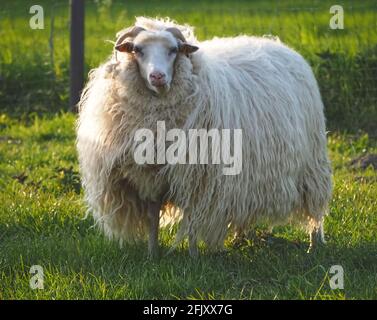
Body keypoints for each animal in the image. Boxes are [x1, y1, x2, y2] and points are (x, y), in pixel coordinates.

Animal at [76, 16, 332, 258]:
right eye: (138, 50)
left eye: (173, 50)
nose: (157, 76)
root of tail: (280, 45)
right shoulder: (148, 177)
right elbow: (152, 219)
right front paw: (152, 255)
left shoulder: (198, 177)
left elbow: (191, 221)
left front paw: (193, 257)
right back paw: (240, 238)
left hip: (312, 163)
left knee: (315, 207)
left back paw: (314, 245)